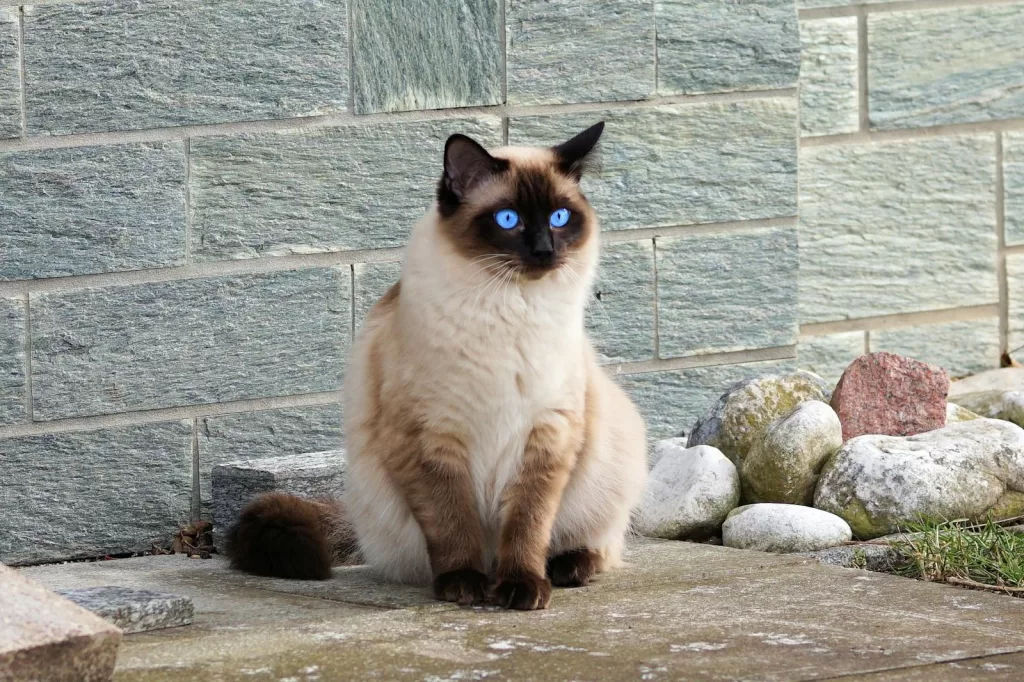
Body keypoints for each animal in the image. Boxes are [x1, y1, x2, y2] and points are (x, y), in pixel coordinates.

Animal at [230, 122, 647, 610]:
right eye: (509, 220)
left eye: (560, 218)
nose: (545, 251)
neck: (511, 308)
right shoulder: (430, 438)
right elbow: (453, 524)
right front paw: (464, 586)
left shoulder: (547, 435)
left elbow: (527, 525)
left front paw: (521, 588)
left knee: (595, 544)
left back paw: (566, 568)